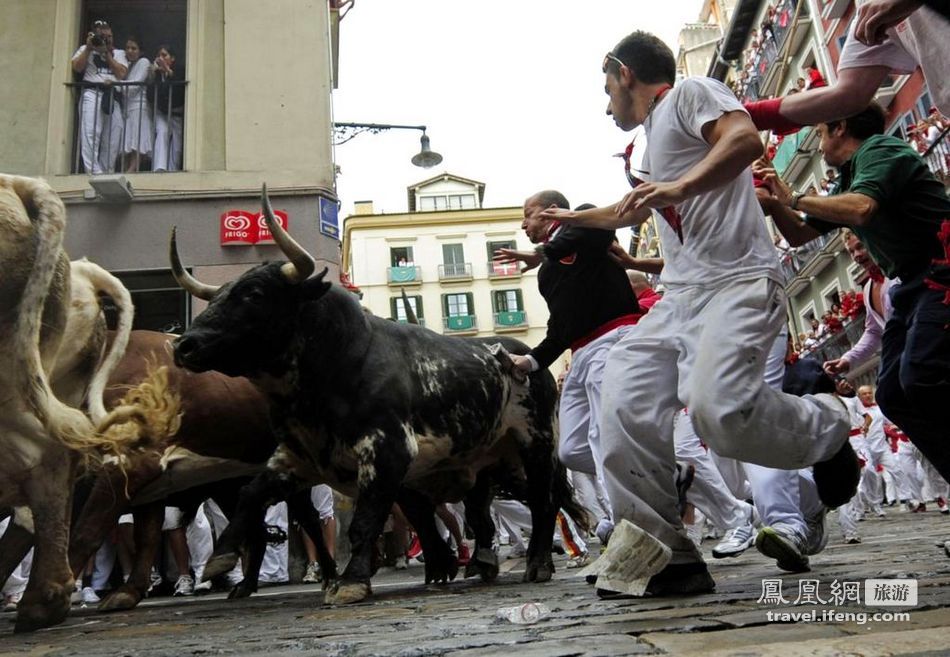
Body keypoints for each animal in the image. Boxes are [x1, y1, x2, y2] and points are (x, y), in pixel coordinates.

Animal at [173, 187, 588, 604]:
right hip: (493, 458)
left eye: (254, 294)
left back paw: (538, 563)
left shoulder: (388, 451)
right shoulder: (297, 457)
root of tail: (524, 355)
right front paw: (221, 559)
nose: (184, 345)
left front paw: (352, 581)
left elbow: (364, 522)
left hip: (535, 442)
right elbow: (250, 495)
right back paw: (487, 562)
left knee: (544, 499)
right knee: (497, 508)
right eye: (219, 296)